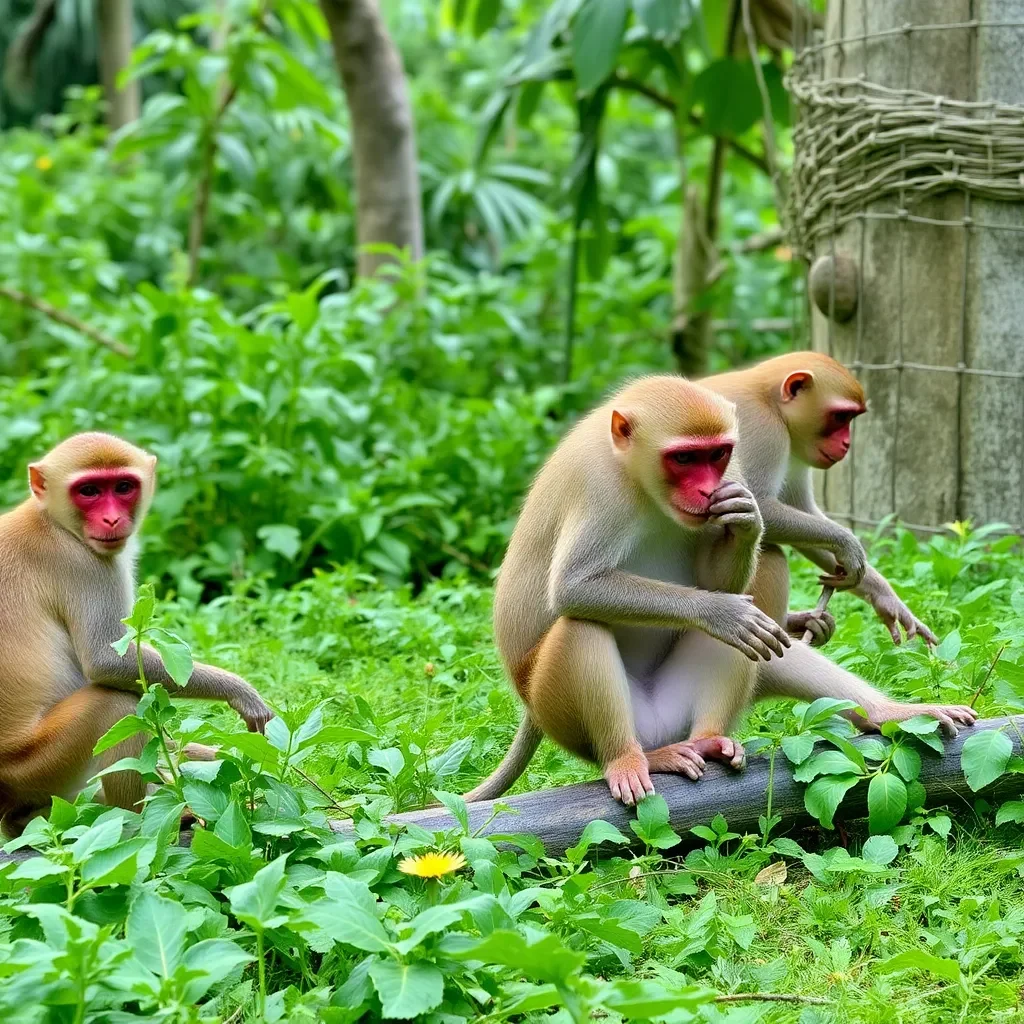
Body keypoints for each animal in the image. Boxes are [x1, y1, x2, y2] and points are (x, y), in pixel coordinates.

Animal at [0, 428, 272, 835]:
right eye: (89, 491)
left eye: (123, 486)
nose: (112, 519)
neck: (52, 520)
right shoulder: (86, 565)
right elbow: (107, 663)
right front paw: (240, 692)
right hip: (37, 767)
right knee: (116, 705)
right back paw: (134, 822)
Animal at [464, 376, 790, 806]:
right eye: (684, 458)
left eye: (716, 454)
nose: (707, 491)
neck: (637, 475)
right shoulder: (600, 485)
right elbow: (573, 587)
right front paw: (719, 612)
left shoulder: (732, 471)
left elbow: (721, 585)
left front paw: (747, 520)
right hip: (556, 710)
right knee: (580, 628)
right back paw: (630, 759)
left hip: (670, 713)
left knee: (747, 636)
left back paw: (709, 741)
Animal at [704, 348, 937, 643]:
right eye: (840, 416)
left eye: (851, 418)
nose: (846, 444)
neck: (769, 400)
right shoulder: (762, 429)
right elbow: (757, 506)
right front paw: (848, 545)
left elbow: (801, 513)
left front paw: (884, 596)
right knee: (768, 551)